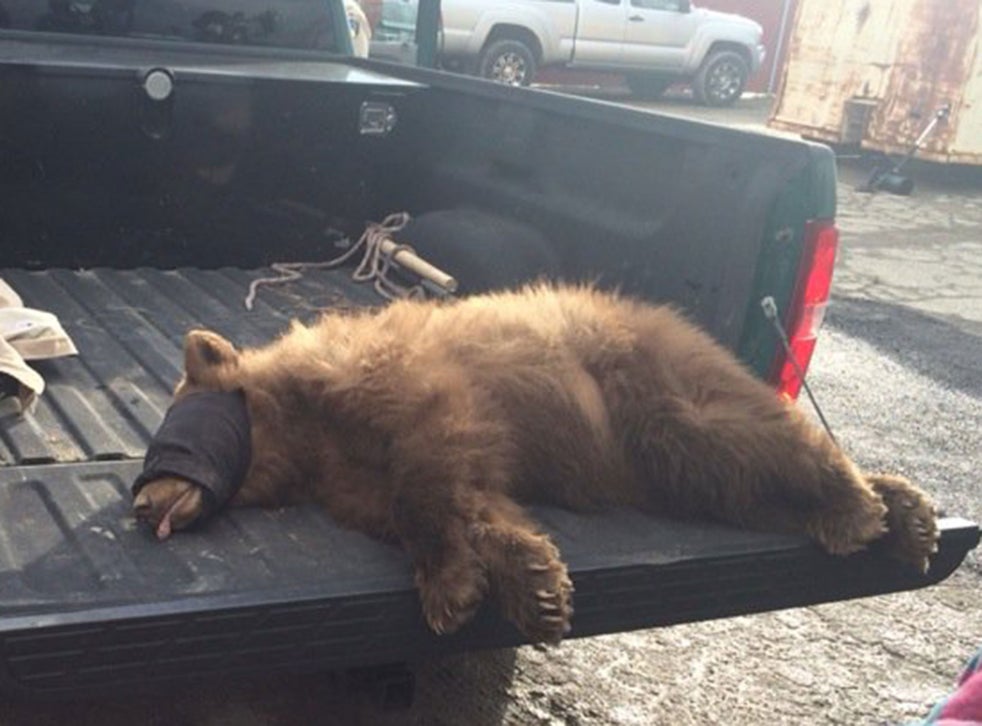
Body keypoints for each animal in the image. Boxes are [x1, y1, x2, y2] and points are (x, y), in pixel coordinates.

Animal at [133, 284, 939, 643]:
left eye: (171, 432)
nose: (140, 507)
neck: (306, 430)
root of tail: (677, 319)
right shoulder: (354, 472)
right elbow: (477, 502)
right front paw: (533, 584)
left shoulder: (403, 388)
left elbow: (428, 473)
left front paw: (449, 590)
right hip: (659, 462)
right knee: (733, 485)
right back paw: (900, 511)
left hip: (648, 391)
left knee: (741, 437)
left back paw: (857, 502)